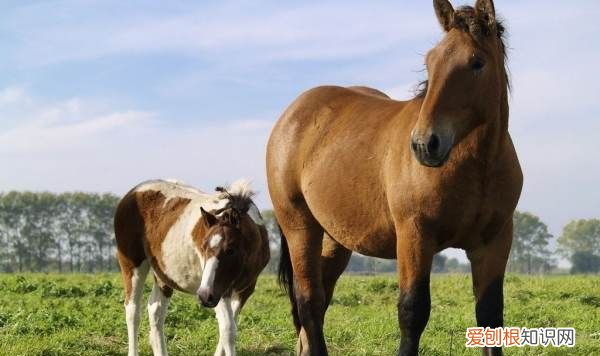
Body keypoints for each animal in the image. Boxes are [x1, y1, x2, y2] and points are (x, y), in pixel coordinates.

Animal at [115, 181, 270, 356]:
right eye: (203, 247)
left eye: (231, 249)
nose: (203, 296)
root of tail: (133, 193)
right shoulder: (219, 290)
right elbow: (228, 330)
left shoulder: (244, 290)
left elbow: (229, 328)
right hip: (132, 264)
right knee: (133, 311)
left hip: (163, 275)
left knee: (155, 310)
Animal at [268, 0, 520, 356]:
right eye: (430, 62)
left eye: (476, 63)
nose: (424, 144)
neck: (477, 167)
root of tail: (293, 114)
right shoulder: (414, 235)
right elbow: (413, 311)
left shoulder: (494, 241)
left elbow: (490, 315)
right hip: (300, 228)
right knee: (308, 300)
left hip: (334, 239)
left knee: (319, 301)